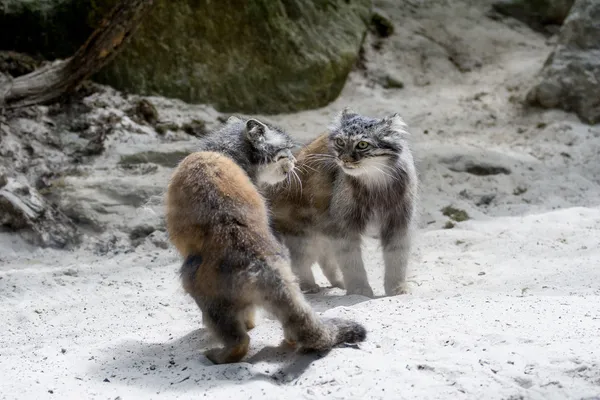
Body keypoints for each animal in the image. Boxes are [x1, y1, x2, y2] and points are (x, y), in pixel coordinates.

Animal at [264, 107, 420, 296]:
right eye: (339, 142)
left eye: (362, 145)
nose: (343, 159)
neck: (375, 182)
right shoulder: (344, 223)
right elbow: (351, 260)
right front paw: (359, 288)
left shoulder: (399, 219)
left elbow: (397, 257)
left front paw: (397, 286)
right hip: (305, 232)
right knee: (300, 261)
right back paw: (309, 285)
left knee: (325, 259)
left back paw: (339, 282)